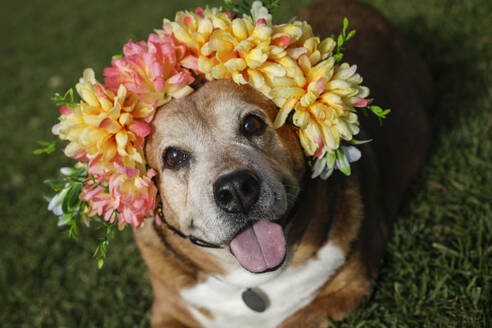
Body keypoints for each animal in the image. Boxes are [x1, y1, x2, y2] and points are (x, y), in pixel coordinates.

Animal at [135, 1, 430, 326]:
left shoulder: (347, 285)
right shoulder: (167, 310)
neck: (255, 282)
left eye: (252, 124)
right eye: (174, 157)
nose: (235, 189)